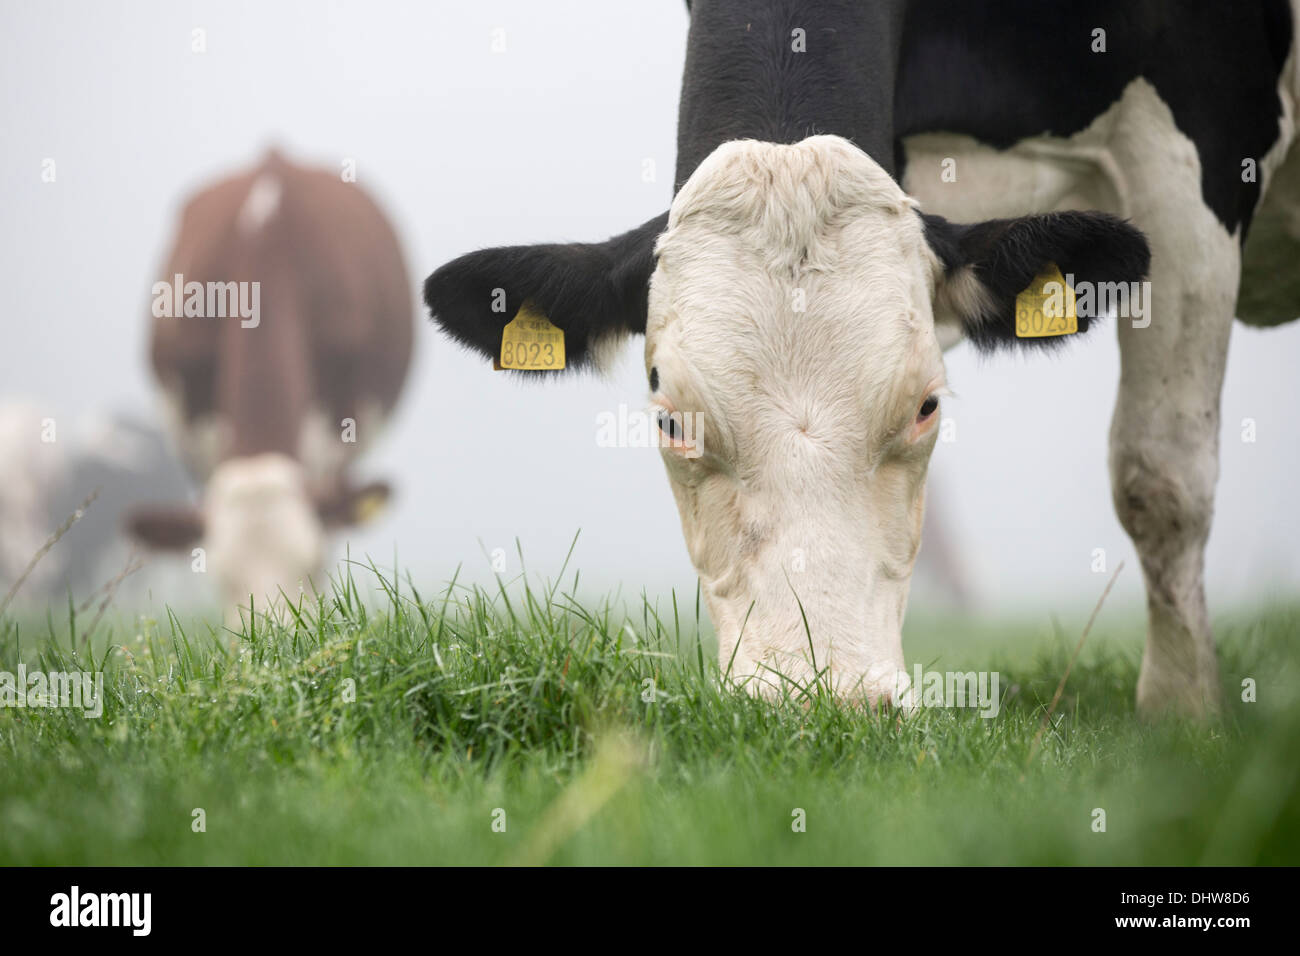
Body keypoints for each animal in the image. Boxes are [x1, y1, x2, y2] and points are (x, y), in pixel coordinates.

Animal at [421, 0, 1294, 717]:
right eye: (670, 421)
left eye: (927, 405)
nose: (819, 705)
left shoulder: (1195, 146)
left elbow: (1162, 479)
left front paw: (1182, 724)